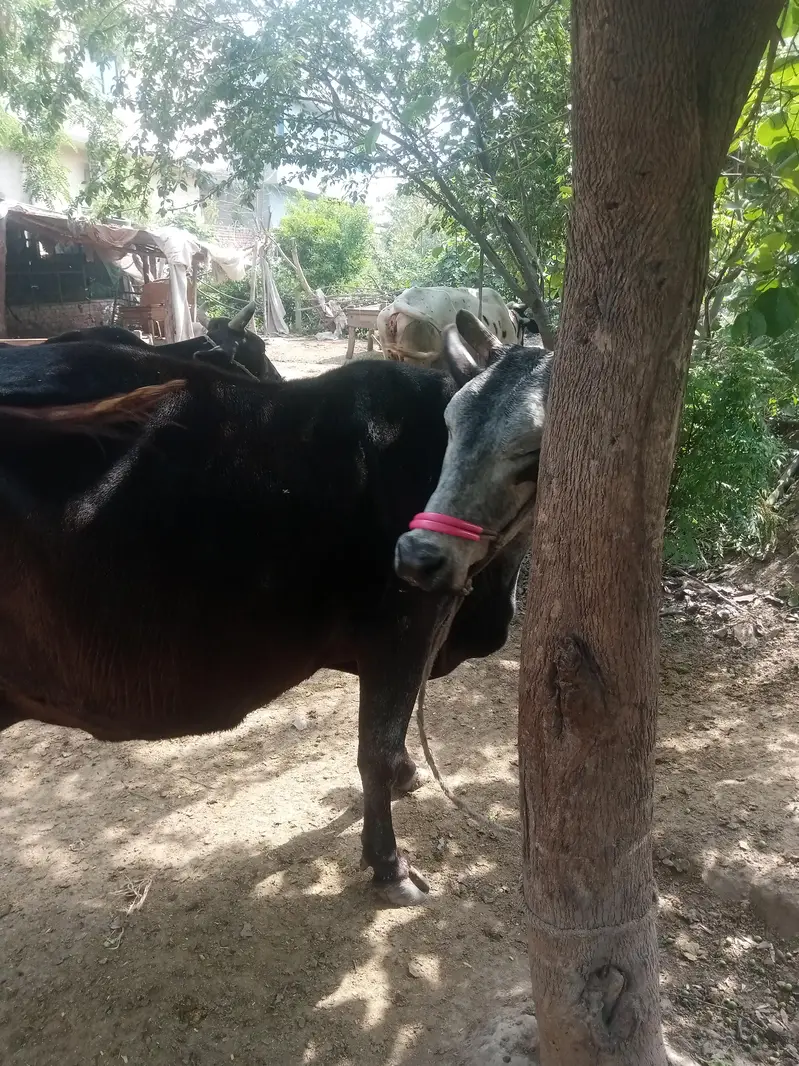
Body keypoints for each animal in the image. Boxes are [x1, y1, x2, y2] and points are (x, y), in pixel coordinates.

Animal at [0, 316, 547, 906]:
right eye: (451, 425)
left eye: (535, 447)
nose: (416, 556)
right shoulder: (402, 629)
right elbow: (375, 747)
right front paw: (389, 865)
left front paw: (406, 775)